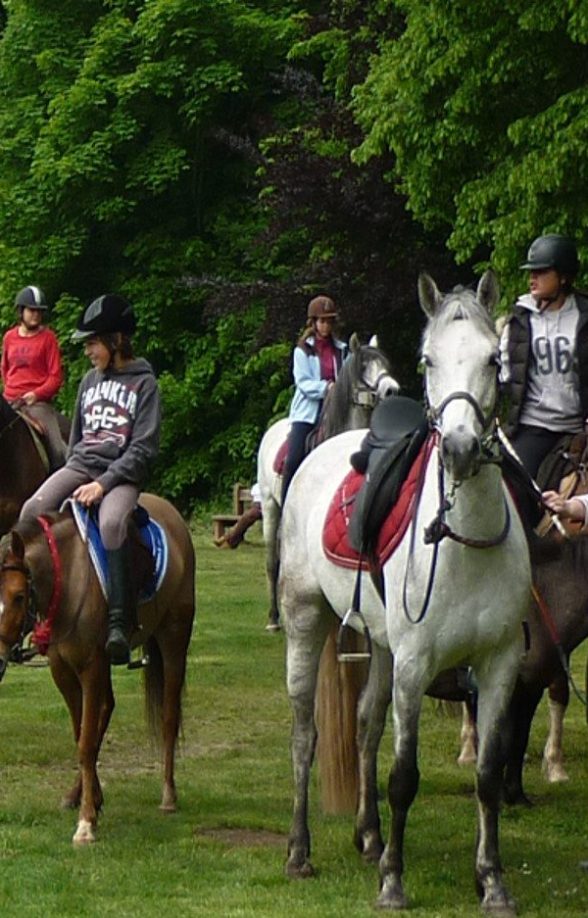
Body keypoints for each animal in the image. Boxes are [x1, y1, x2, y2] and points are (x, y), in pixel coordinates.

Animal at [0, 496, 195, 848]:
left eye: (19, 596)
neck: (67, 577)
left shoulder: (90, 667)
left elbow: (87, 742)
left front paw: (86, 822)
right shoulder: (63, 670)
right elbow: (82, 735)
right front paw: (88, 799)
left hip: (174, 639)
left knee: (169, 717)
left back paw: (168, 796)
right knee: (107, 708)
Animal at [258, 336, 400, 632]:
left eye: (384, 362)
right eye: (363, 366)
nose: (392, 389)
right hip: (269, 506)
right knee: (271, 561)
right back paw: (273, 618)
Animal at [280, 270, 532, 916]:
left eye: (494, 359)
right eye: (428, 359)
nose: (461, 449)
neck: (464, 539)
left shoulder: (499, 666)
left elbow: (487, 775)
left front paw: (492, 880)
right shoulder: (416, 666)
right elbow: (404, 776)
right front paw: (393, 881)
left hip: (381, 645)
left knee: (366, 725)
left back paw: (368, 836)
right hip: (306, 622)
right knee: (305, 735)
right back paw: (300, 851)